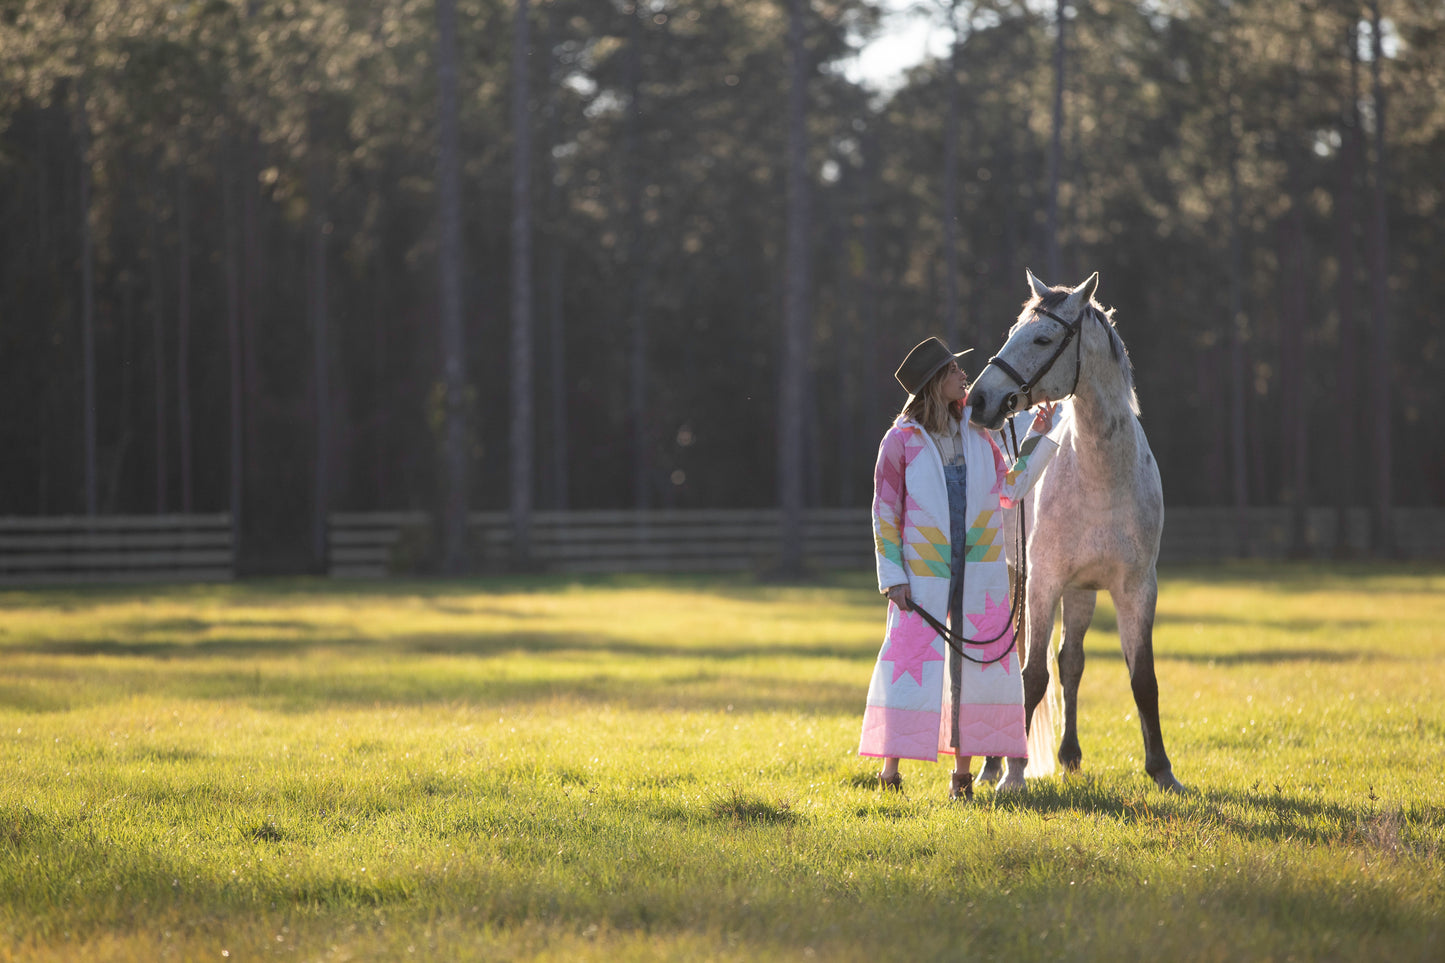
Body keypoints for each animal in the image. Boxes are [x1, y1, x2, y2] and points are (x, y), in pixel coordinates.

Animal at [965, 267, 1179, 786]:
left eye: (1042, 338)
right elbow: (1031, 677)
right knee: (1017, 662)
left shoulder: (1137, 589)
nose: (978, 399)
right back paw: (991, 767)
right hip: (1017, 578)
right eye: (1013, 332)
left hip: (1081, 592)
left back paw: (1069, 754)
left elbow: (1142, 678)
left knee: (1072, 662)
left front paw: (1162, 770)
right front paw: (1013, 777)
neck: (1102, 479)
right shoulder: (1043, 583)